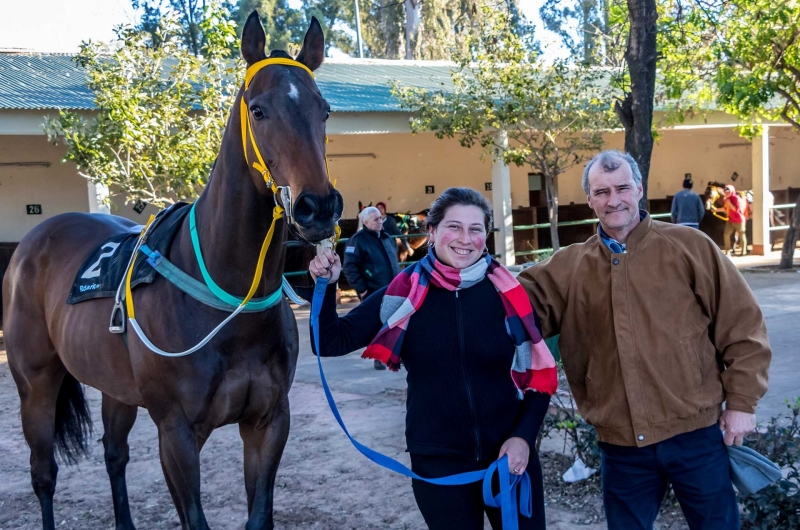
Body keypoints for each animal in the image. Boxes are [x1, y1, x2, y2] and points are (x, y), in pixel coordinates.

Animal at [0, 12, 338, 528]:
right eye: (259, 110)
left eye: (324, 111)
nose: (317, 207)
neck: (224, 298)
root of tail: (33, 242)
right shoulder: (177, 434)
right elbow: (192, 516)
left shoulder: (268, 423)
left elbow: (259, 514)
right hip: (35, 384)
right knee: (44, 474)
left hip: (115, 388)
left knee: (114, 454)